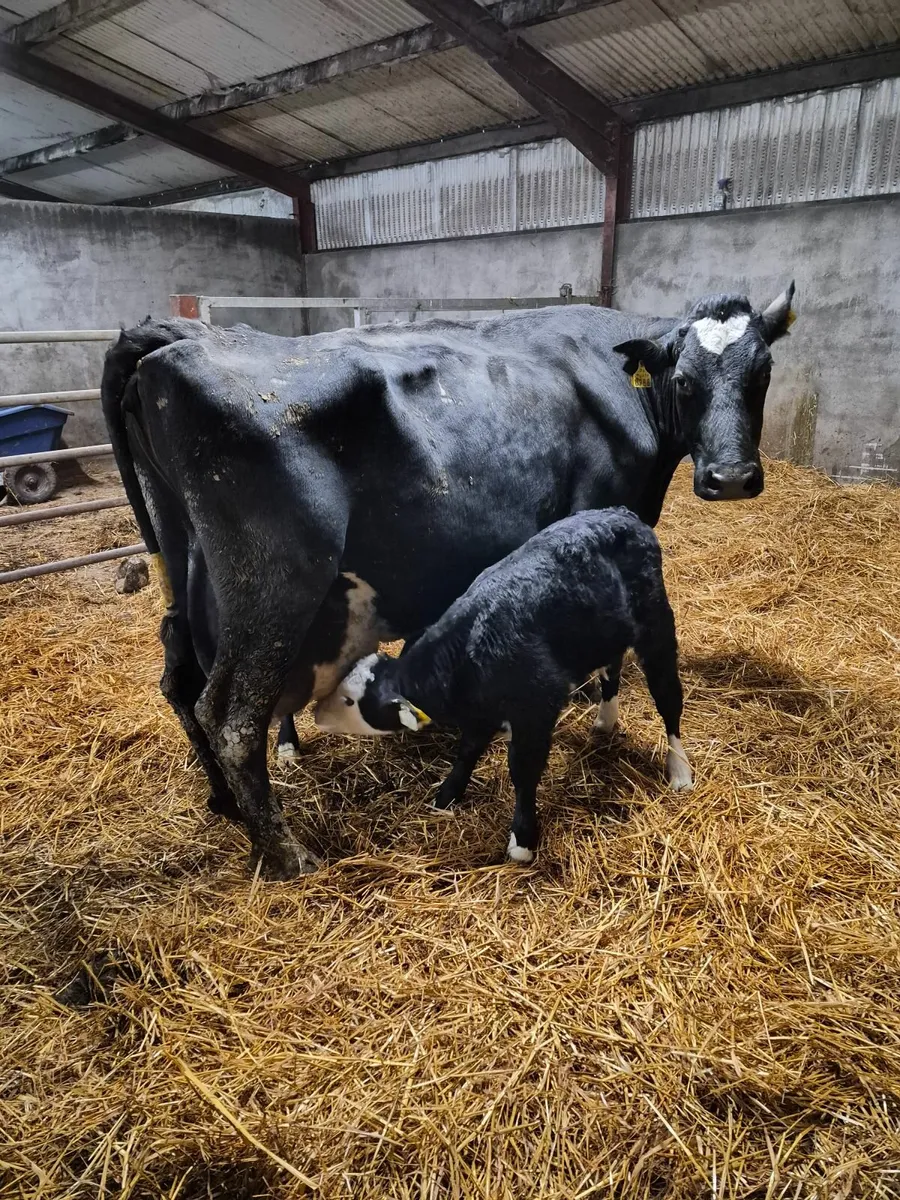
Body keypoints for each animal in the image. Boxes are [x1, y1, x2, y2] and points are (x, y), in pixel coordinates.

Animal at [314, 507, 691, 863]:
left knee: (669, 696)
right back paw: (606, 720)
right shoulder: (482, 710)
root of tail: (621, 513)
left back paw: (679, 769)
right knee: (612, 666)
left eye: (350, 701)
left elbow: (523, 770)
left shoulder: (537, 707)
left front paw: (522, 840)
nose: (317, 715)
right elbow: (467, 750)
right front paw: (447, 794)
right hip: (604, 631)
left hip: (656, 623)